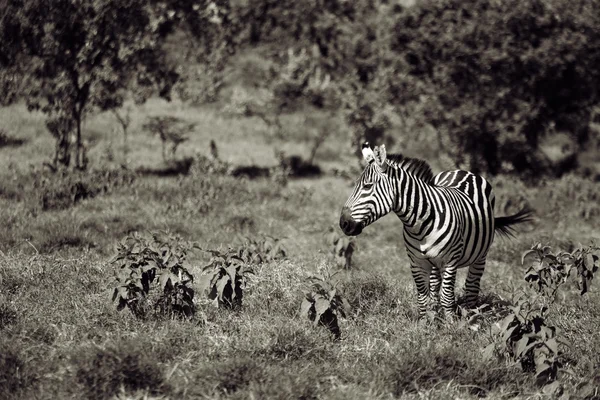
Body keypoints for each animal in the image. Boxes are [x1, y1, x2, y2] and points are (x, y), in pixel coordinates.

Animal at [340, 142, 532, 318]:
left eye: (367, 186)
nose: (343, 224)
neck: (419, 224)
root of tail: (462, 171)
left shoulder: (450, 261)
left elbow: (447, 297)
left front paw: (451, 325)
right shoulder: (416, 262)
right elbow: (422, 297)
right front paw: (425, 324)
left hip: (480, 255)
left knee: (471, 286)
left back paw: (472, 315)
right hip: (434, 262)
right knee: (435, 286)